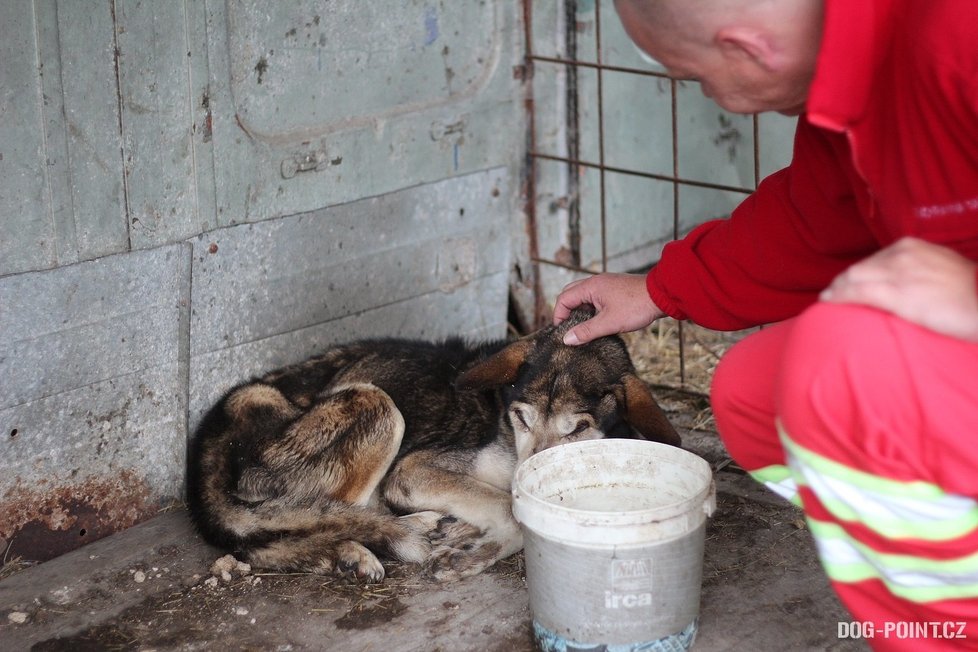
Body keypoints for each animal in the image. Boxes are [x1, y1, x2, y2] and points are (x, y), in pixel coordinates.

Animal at [189, 308, 680, 584]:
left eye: (575, 429)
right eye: (522, 417)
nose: (527, 481)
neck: (502, 418)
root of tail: (204, 453)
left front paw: (466, 537)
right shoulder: (412, 471)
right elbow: (507, 508)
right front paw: (471, 553)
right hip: (377, 406)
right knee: (329, 515)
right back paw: (368, 544)